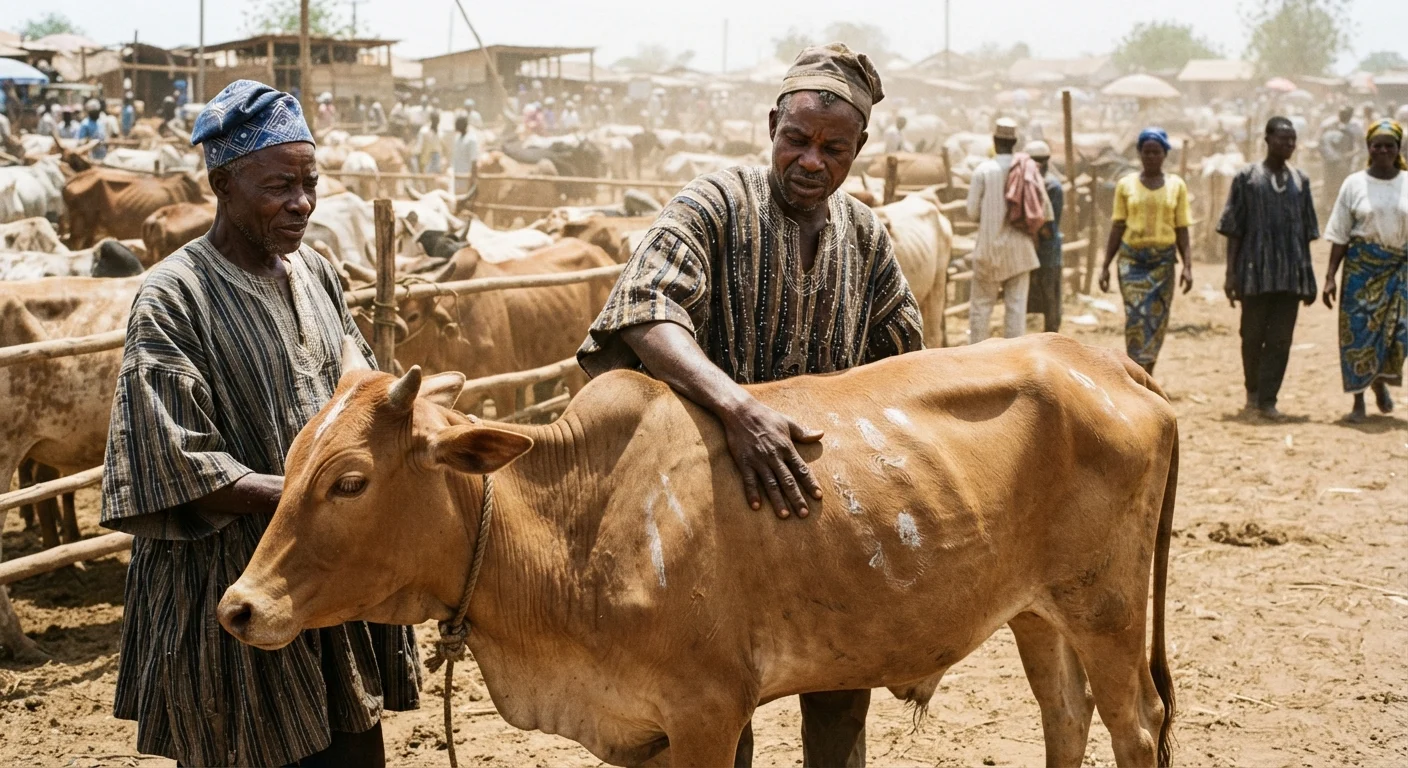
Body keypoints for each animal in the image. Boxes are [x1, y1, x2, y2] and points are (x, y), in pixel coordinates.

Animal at [218, 333, 1179, 768]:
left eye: (349, 481)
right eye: (291, 463)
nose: (239, 607)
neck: (570, 530)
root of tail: (1108, 363)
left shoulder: (709, 713)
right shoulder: (639, 731)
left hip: (1107, 610)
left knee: (1136, 726)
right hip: (1039, 613)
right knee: (1067, 717)